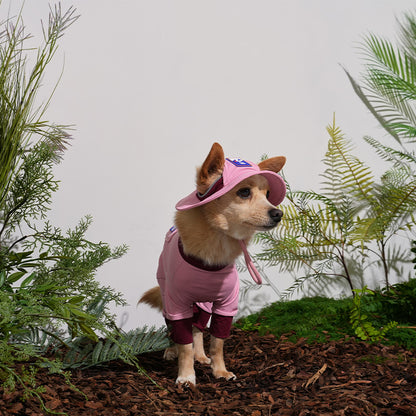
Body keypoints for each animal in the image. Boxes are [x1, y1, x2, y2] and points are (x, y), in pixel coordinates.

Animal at [140, 143, 286, 386]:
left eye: (267, 194)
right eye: (244, 192)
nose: (278, 213)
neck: (217, 243)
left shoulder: (225, 305)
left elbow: (217, 342)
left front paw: (219, 371)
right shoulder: (177, 304)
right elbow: (184, 343)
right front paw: (186, 376)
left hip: (204, 305)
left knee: (198, 329)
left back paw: (200, 355)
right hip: (168, 297)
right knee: (174, 330)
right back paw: (172, 351)